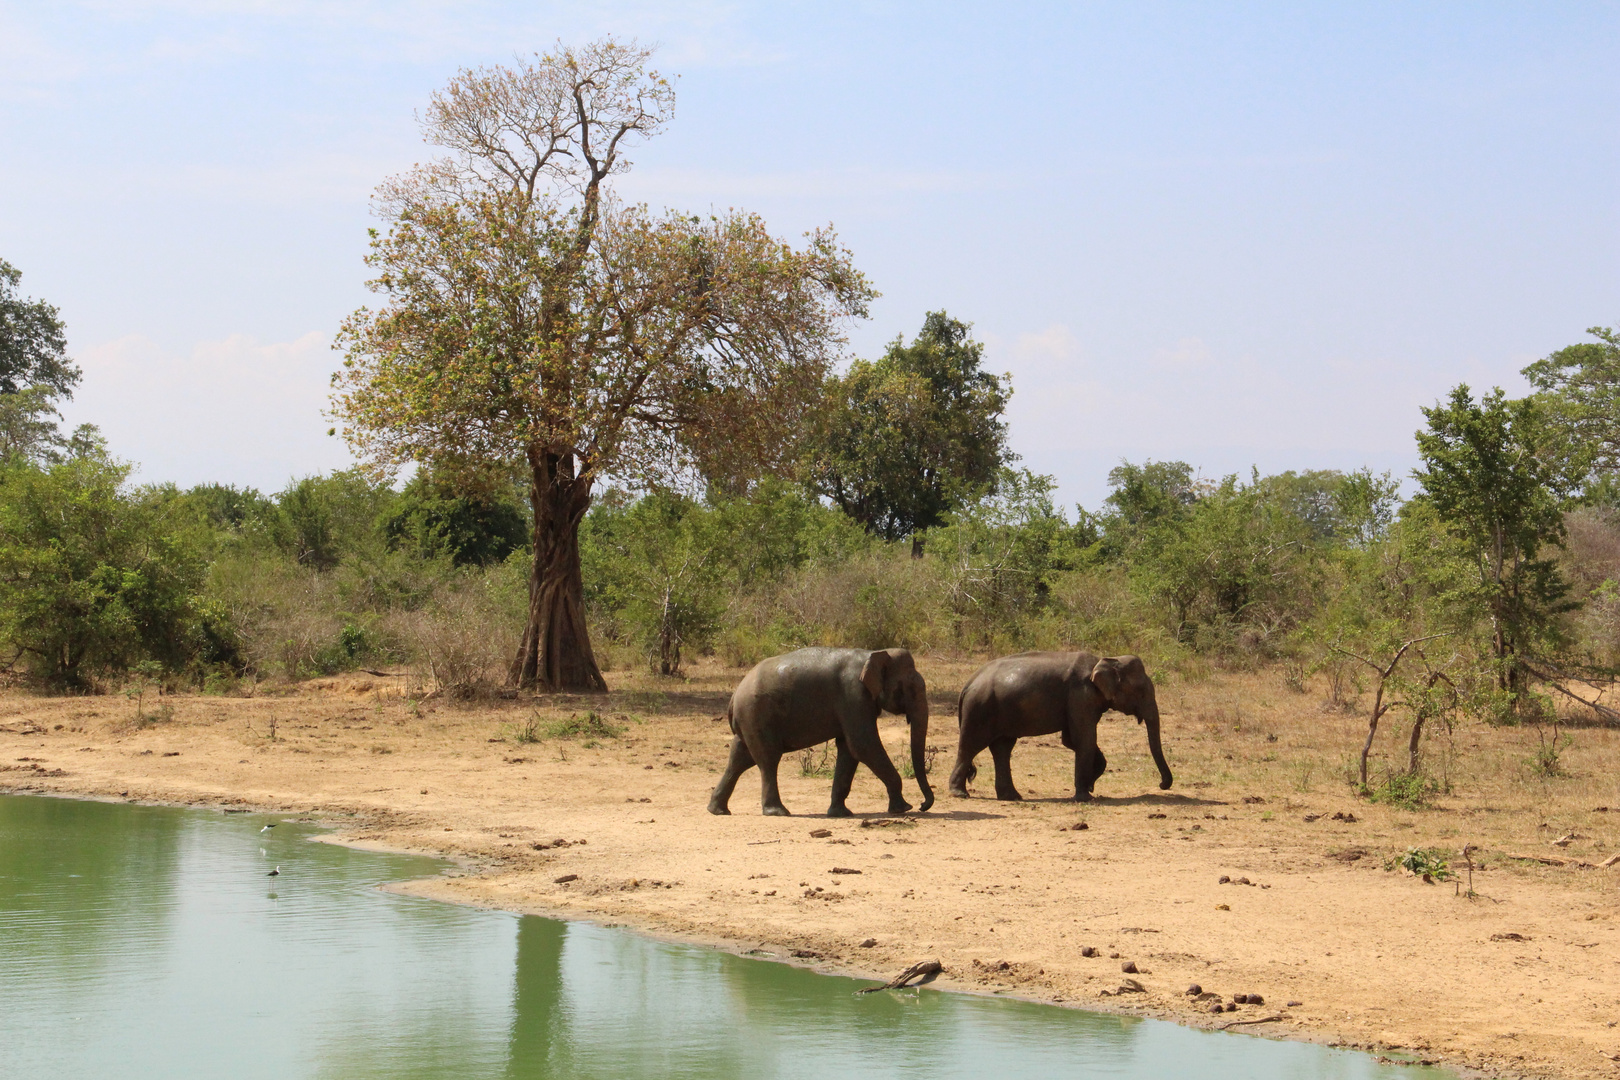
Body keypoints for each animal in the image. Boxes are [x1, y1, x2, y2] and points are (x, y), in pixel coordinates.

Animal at [709, 647, 939, 816]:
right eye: (910, 689)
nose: (922, 805)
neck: (874, 653)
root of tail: (734, 696)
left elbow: (849, 749)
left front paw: (841, 813)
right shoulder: (853, 695)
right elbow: (863, 745)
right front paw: (903, 809)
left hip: (749, 720)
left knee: (739, 758)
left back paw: (718, 810)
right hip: (757, 715)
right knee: (768, 760)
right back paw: (778, 812)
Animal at [946, 650, 1172, 803]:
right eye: (1141, 691)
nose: (1162, 785)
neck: (1105, 660)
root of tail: (968, 683)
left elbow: (1072, 740)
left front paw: (1090, 785)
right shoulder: (1081, 696)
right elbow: (1084, 738)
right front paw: (1085, 797)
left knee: (1002, 748)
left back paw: (1012, 797)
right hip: (980, 708)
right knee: (971, 746)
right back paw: (960, 794)